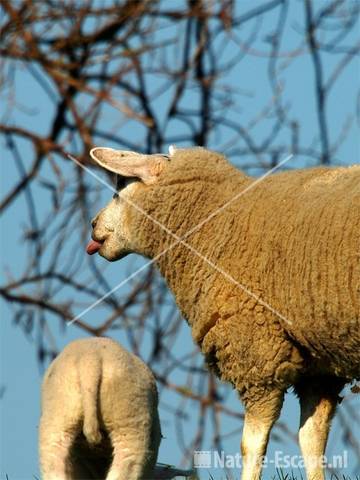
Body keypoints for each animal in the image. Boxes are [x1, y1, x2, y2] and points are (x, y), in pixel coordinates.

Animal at [87, 146, 360, 480]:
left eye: (120, 189)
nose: (93, 224)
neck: (216, 220)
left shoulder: (256, 352)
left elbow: (251, 444)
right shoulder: (320, 367)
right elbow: (312, 439)